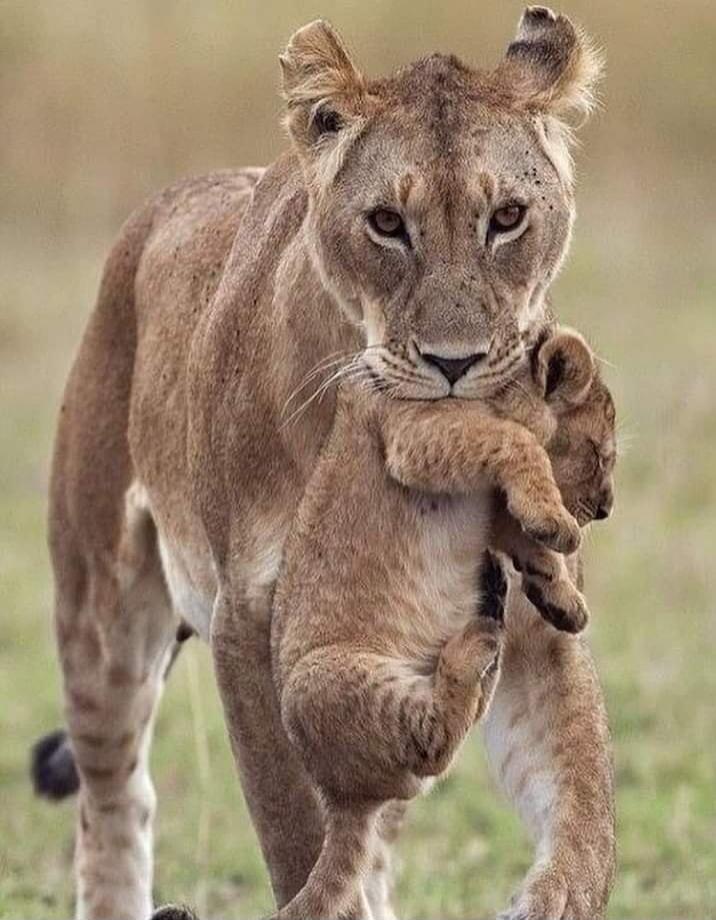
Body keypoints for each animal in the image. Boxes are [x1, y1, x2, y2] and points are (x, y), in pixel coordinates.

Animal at [33, 8, 615, 920]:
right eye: (387, 224)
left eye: (508, 216)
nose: (455, 363)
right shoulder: (246, 622)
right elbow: (296, 832)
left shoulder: (532, 622)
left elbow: (583, 811)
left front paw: (550, 896)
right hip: (101, 611)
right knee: (116, 800)